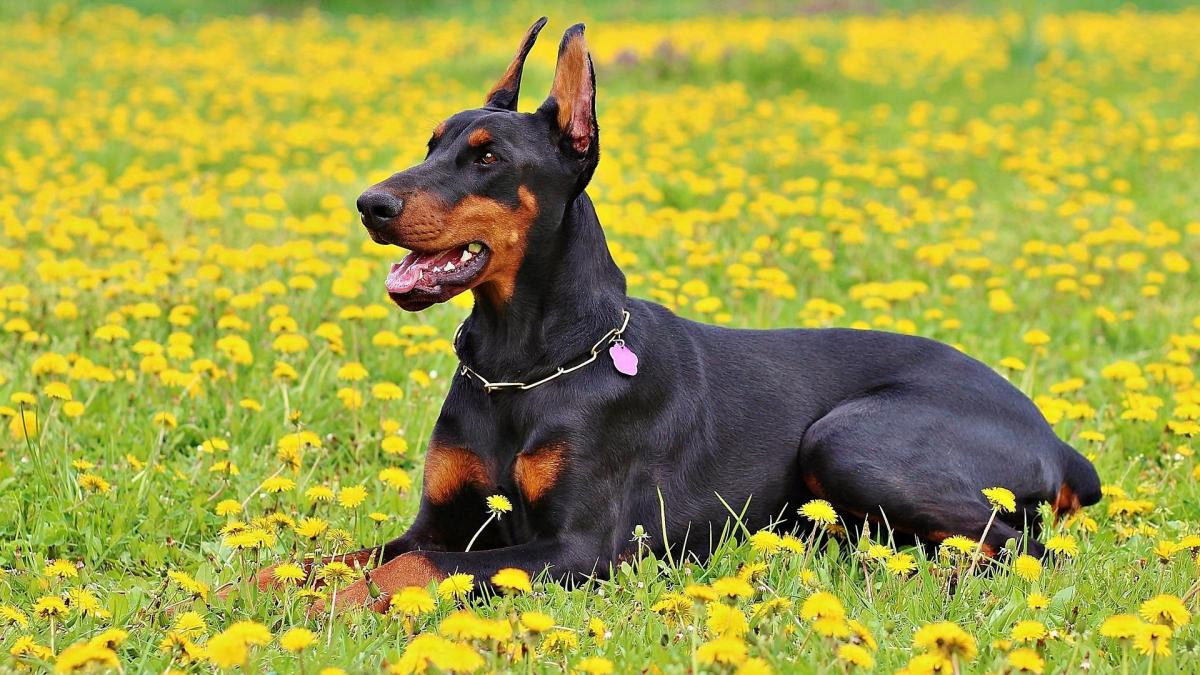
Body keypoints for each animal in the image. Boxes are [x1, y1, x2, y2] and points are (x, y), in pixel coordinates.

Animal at [234, 19, 1099, 610]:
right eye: (432, 142)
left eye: (487, 157)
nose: (370, 204)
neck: (524, 365)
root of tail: (1057, 438)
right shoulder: (442, 521)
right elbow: (324, 557)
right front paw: (238, 591)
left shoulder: (576, 547)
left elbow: (405, 571)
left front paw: (317, 609)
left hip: (849, 439)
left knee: (1023, 548)